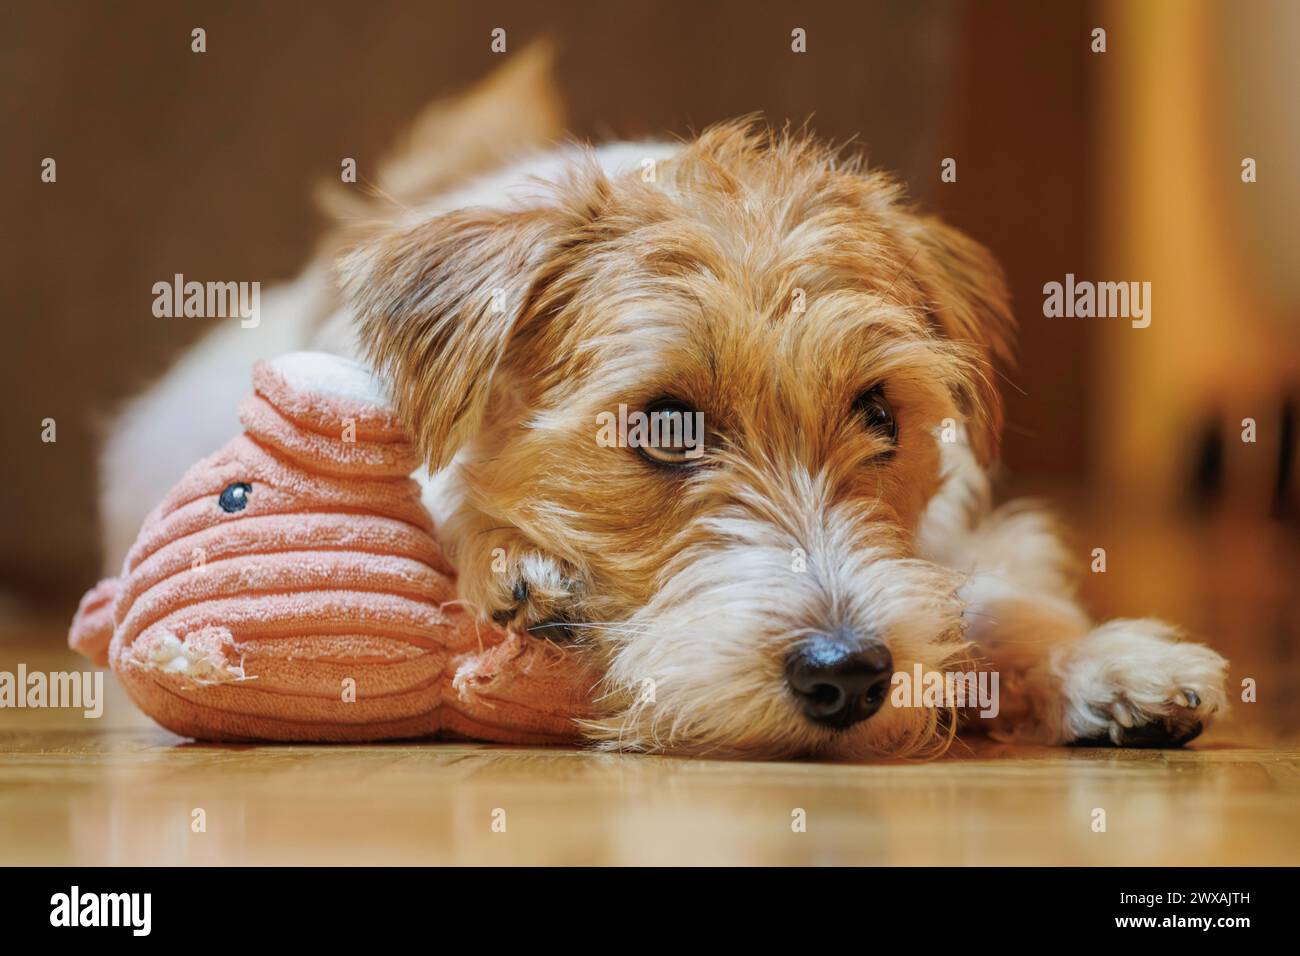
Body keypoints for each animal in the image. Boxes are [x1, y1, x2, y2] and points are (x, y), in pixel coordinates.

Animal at [104, 48, 1227, 759]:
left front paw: (1110, 660)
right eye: (665, 425)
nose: (849, 673)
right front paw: (522, 571)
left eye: (881, 413)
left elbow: (993, 592)